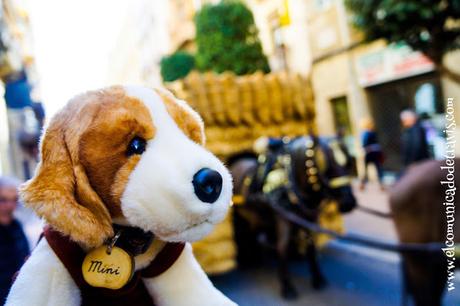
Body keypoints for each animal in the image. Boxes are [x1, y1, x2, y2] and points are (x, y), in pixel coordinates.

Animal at [229, 136, 356, 298]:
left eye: (348, 161)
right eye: (324, 163)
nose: (348, 202)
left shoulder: (309, 220)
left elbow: (311, 247)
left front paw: (317, 278)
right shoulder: (283, 220)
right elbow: (282, 248)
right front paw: (287, 286)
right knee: (242, 235)